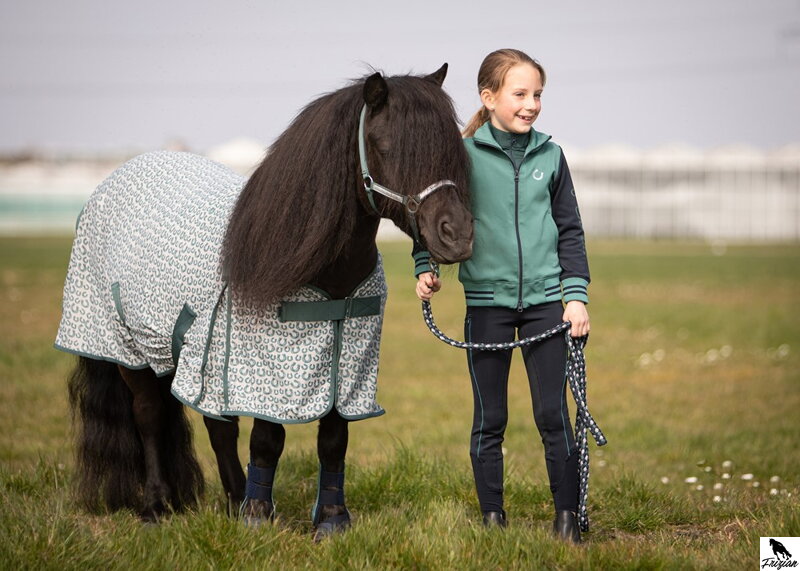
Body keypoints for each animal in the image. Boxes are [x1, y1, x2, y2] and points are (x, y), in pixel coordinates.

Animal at [58, 64, 473, 539]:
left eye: (450, 146)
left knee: (215, 426)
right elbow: (267, 441)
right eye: (385, 146)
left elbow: (333, 440)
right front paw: (258, 517)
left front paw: (331, 519)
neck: (314, 264)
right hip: (132, 349)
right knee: (149, 416)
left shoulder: (345, 361)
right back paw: (157, 506)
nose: (458, 235)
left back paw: (232, 499)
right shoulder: (266, 369)